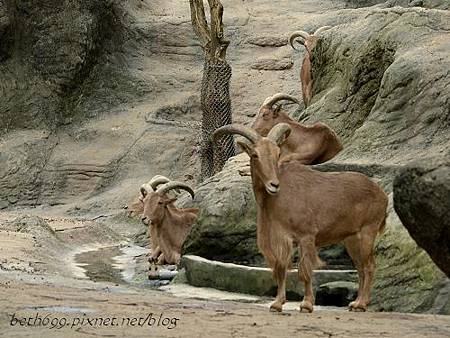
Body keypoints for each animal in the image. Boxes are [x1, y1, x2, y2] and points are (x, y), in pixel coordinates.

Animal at [214, 123, 386, 312]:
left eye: (278, 154)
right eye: (255, 155)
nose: (274, 185)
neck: (279, 196)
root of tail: (382, 194)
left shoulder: (306, 236)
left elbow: (304, 271)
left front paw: (306, 304)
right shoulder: (282, 237)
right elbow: (281, 268)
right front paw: (277, 303)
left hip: (368, 232)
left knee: (369, 266)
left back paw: (362, 304)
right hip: (351, 239)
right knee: (360, 268)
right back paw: (356, 303)